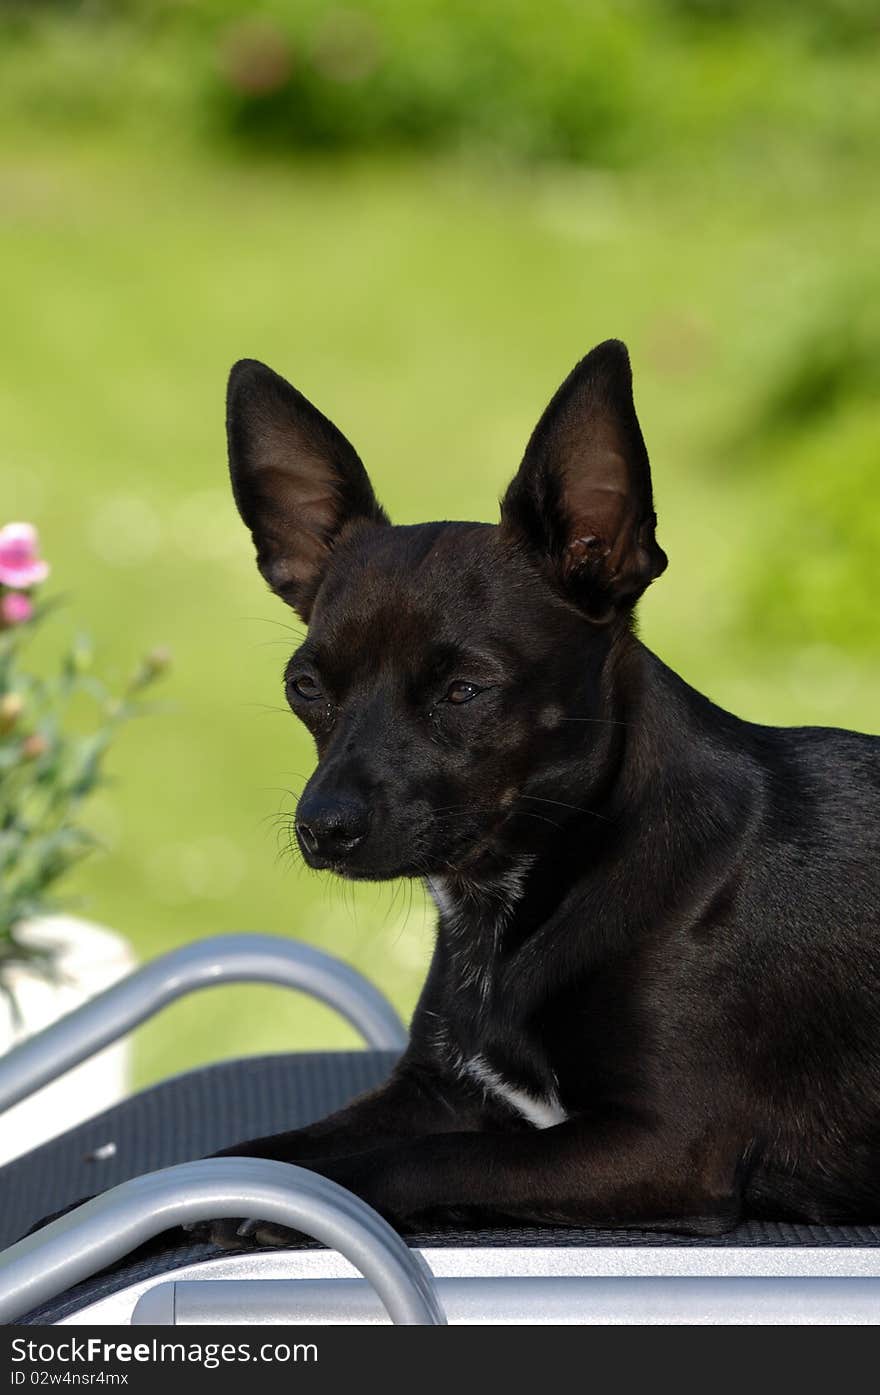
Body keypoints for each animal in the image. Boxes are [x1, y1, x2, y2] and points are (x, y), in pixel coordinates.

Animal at [205, 343, 875, 1249]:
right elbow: (248, 1150)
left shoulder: (664, 1146)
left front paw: (299, 1207)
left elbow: (434, 1158)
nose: (323, 827)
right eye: (305, 687)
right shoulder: (434, 1088)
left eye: (465, 690)